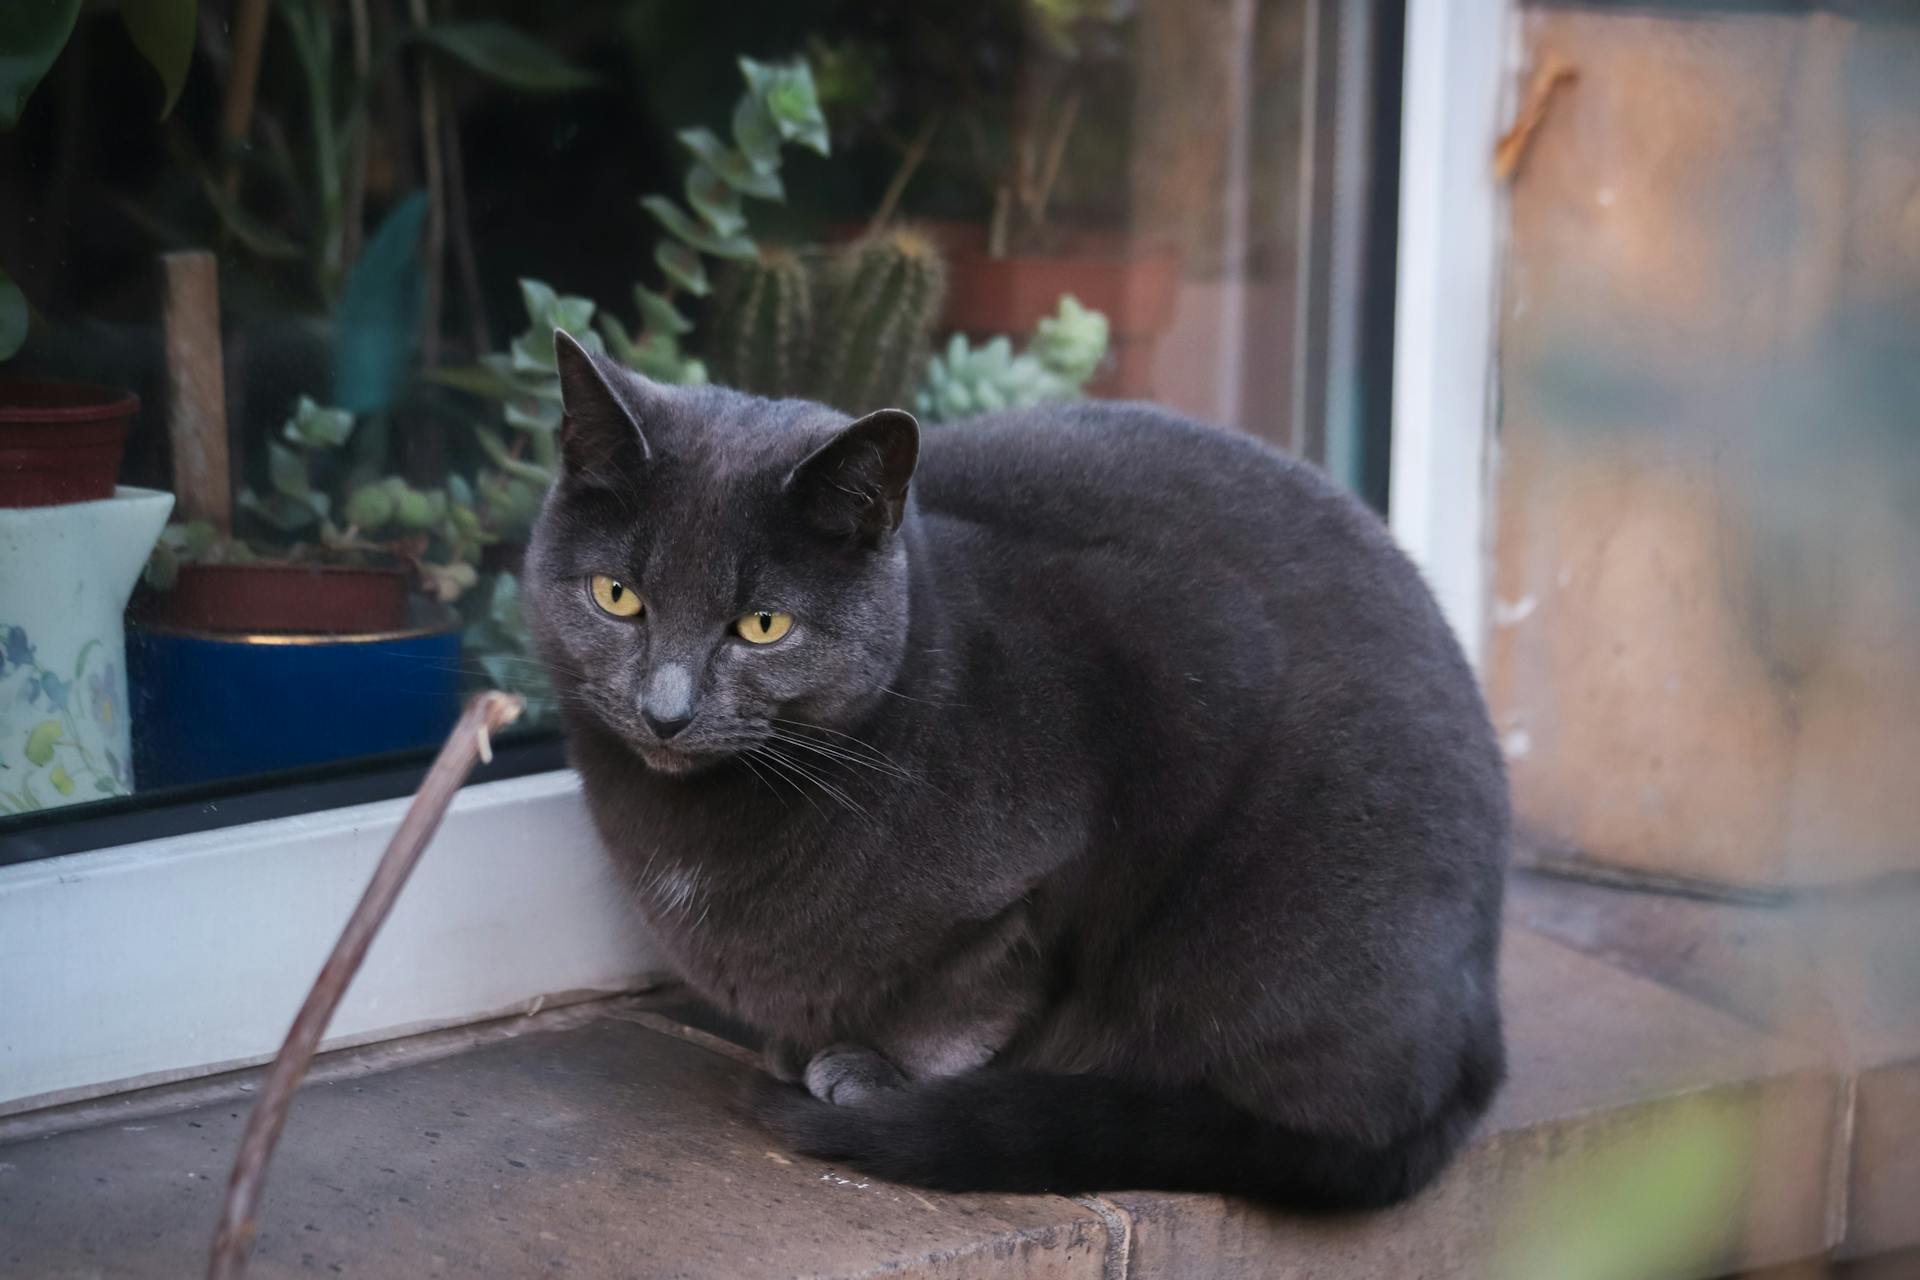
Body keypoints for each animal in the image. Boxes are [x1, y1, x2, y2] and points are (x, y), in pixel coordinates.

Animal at [533, 333, 1505, 1212]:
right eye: (617, 597)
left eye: (762, 626)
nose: (665, 709)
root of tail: (1479, 1029)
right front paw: (804, 1043)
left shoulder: (1057, 854)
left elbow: (971, 995)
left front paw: (873, 1067)